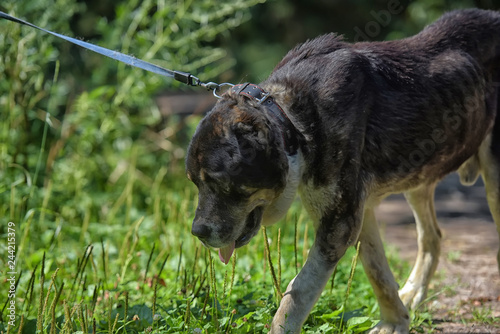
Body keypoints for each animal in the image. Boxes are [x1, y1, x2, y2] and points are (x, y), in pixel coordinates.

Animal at [185, 9, 500, 332]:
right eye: (195, 183)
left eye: (221, 183)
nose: (197, 232)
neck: (294, 122)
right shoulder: (357, 214)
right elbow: (377, 273)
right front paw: (395, 322)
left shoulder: (338, 224)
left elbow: (298, 292)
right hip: (419, 175)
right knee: (431, 237)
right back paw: (412, 294)